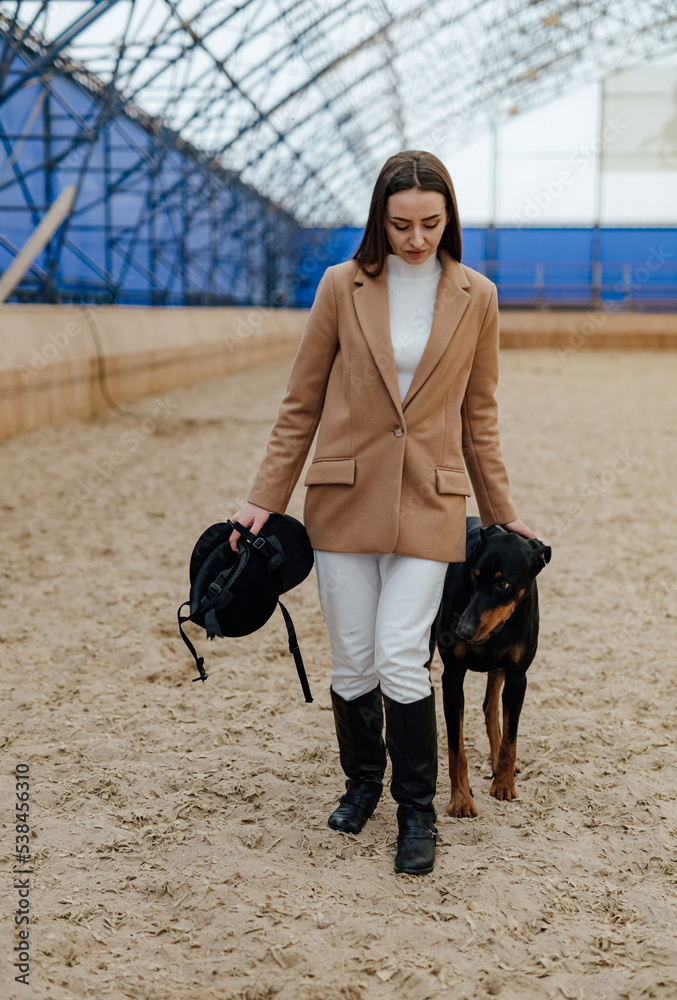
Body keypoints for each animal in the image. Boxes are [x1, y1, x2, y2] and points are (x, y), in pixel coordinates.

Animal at [434, 520, 548, 816]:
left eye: (503, 583)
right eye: (474, 577)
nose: (462, 631)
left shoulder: (518, 677)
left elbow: (510, 736)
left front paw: (504, 785)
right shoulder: (452, 676)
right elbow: (456, 749)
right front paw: (461, 800)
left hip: (500, 669)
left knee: (490, 706)